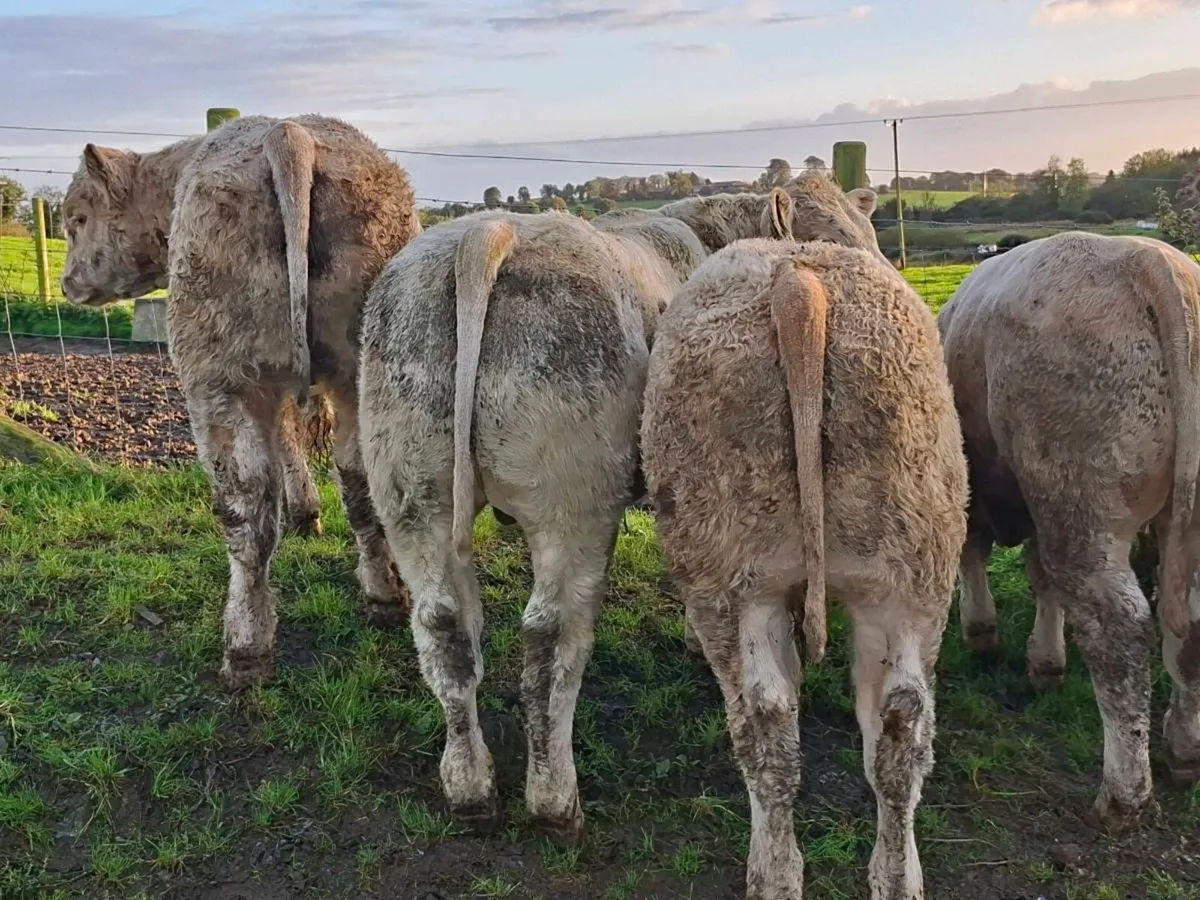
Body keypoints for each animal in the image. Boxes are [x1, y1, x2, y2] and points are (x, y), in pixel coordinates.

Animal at [59, 114, 422, 689]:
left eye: (77, 218)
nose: (66, 283)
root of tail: (288, 134)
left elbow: (288, 446)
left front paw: (304, 514)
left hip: (219, 379)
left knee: (246, 511)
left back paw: (245, 647)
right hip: (361, 373)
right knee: (359, 479)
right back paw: (384, 594)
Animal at [354, 177, 875, 846]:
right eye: (823, 239)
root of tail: (487, 231)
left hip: (412, 491)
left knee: (444, 625)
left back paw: (470, 788)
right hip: (574, 504)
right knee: (550, 636)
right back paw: (555, 798)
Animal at [641, 239, 968, 900]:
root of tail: (798, 282)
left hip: (734, 579)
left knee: (766, 727)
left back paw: (774, 875)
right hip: (907, 575)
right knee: (897, 727)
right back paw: (894, 877)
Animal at [937, 230, 1200, 831]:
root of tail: (1149, 260)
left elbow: (976, 554)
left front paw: (982, 635)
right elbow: (1041, 580)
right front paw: (1045, 662)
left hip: (1080, 508)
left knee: (1119, 626)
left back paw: (1124, 795)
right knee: (1191, 624)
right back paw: (1184, 751)